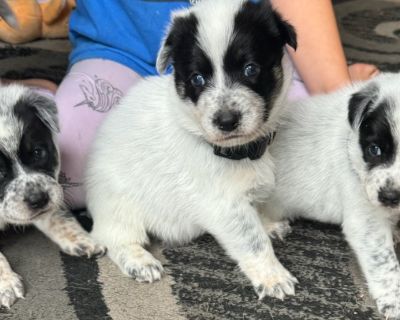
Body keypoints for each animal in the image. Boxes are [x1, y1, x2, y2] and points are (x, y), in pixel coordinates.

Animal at [86, 0, 300, 300]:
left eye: (250, 69)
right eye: (197, 78)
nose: (226, 121)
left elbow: (256, 214)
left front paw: (268, 223)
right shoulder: (223, 205)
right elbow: (252, 240)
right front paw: (273, 276)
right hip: (118, 205)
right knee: (113, 237)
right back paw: (140, 261)